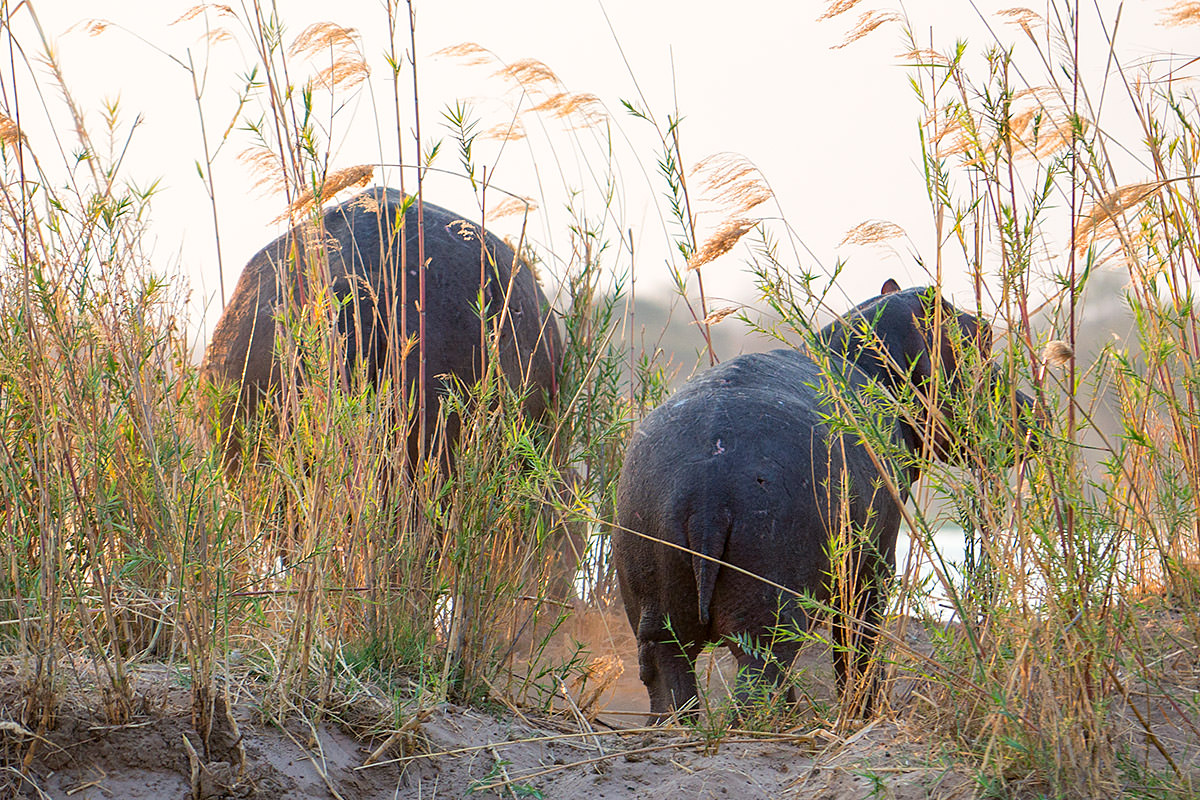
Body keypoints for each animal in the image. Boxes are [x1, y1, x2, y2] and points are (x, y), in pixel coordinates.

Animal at [614, 280, 1036, 719]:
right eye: (982, 335)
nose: (1036, 408)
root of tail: (708, 491)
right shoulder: (876, 564)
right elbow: (857, 648)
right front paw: (866, 714)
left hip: (656, 614)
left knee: (672, 684)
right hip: (767, 619)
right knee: (760, 684)